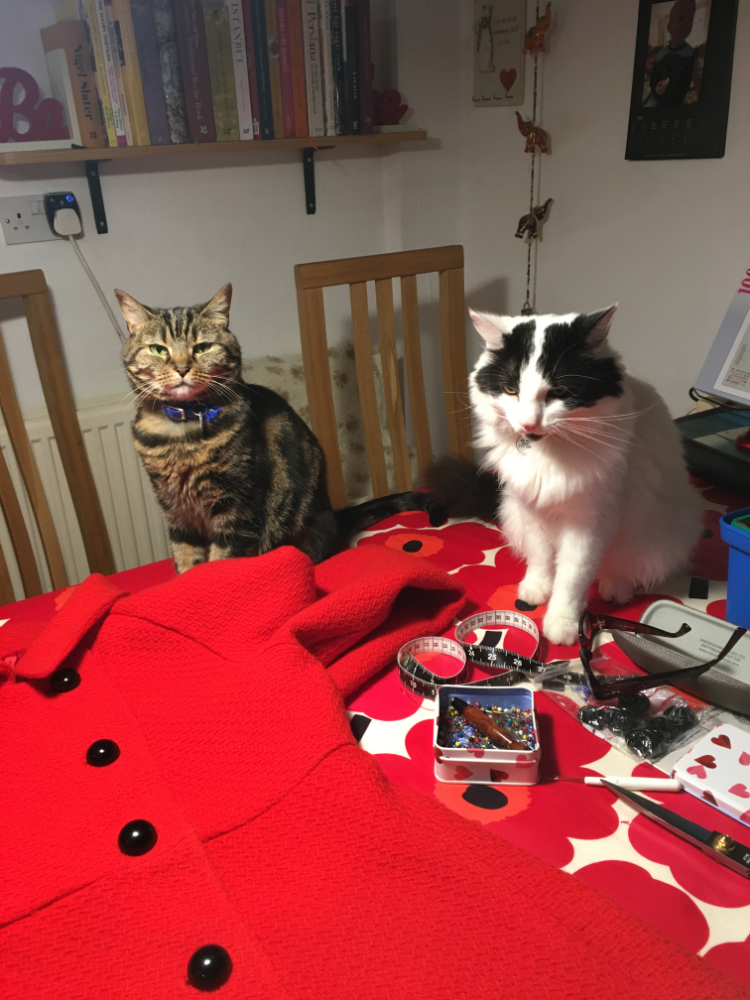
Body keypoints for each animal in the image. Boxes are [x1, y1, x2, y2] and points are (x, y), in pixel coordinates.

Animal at [114, 286, 438, 576]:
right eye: (158, 349)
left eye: (202, 347)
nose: (182, 368)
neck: (181, 433)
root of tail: (333, 515)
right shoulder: (174, 507)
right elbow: (185, 556)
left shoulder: (235, 503)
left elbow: (222, 559)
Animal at [470, 306, 704, 648]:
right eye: (510, 390)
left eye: (559, 392)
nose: (527, 425)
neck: (548, 452)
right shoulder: (530, 506)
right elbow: (540, 555)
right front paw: (537, 588)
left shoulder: (592, 521)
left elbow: (573, 577)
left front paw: (564, 623)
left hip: (656, 530)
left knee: (625, 565)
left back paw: (616, 587)